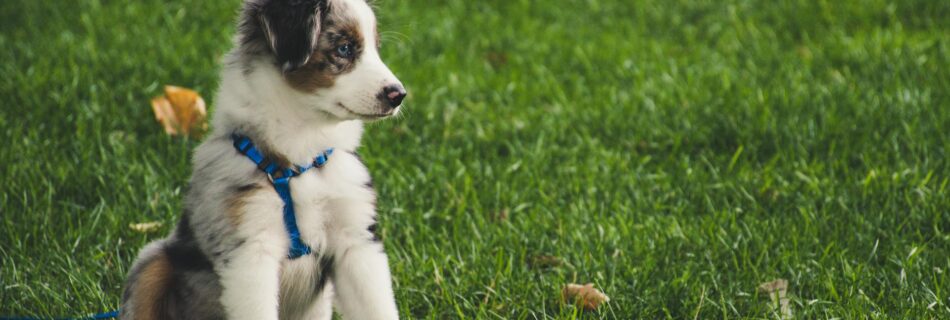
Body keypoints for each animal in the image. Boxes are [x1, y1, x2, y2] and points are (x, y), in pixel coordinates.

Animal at [119, 0, 406, 318]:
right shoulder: (251, 248)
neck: (300, 158)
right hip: (153, 260)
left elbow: (377, 307)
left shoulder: (356, 240)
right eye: (344, 48)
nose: (399, 95)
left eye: (375, 49)